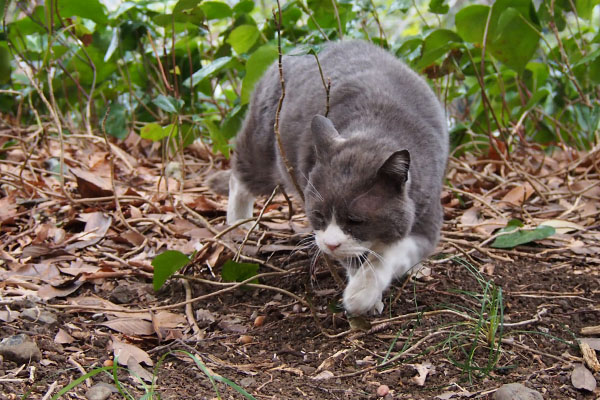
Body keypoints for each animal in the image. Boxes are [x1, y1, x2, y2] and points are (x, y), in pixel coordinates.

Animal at [224, 40, 446, 316]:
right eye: (317, 214)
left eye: (355, 220)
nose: (329, 245)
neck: (376, 127)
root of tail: (291, 51)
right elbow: (357, 258)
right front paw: (365, 296)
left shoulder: (427, 216)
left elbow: (391, 253)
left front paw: (363, 291)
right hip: (263, 146)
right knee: (240, 176)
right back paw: (238, 225)